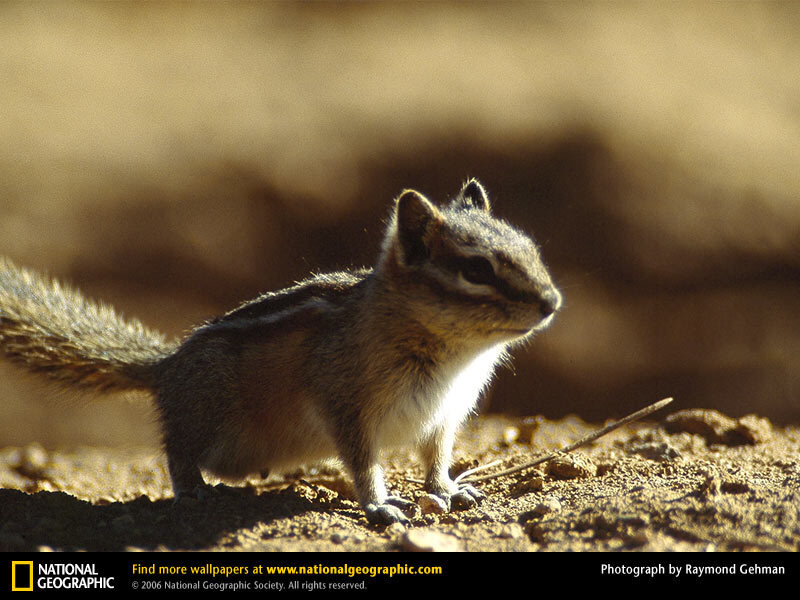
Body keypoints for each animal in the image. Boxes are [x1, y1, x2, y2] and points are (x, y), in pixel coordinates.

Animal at [0, 179, 561, 524]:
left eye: (532, 248)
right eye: (476, 269)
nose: (552, 302)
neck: (454, 354)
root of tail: (166, 367)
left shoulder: (445, 416)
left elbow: (437, 457)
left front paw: (447, 489)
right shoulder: (345, 402)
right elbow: (363, 462)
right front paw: (379, 506)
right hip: (208, 413)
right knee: (176, 449)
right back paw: (194, 488)